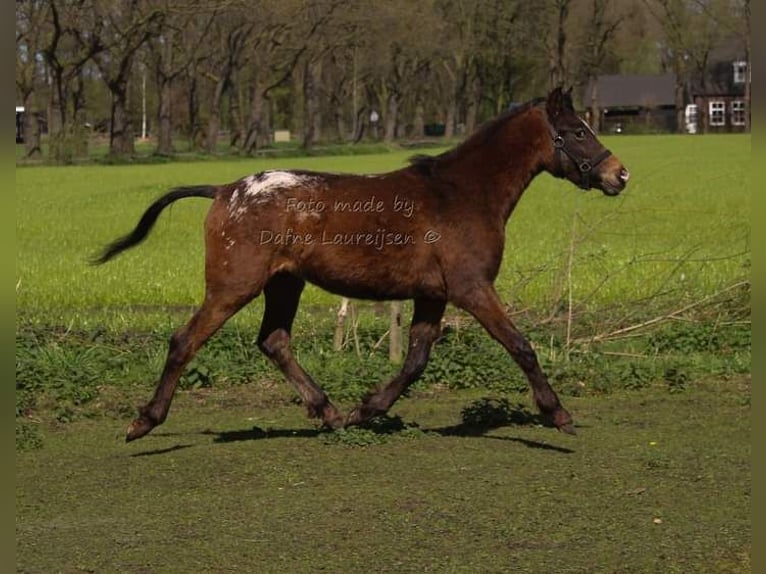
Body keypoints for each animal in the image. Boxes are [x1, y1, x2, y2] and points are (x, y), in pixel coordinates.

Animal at [94, 88, 632, 444]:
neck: (462, 194)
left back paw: (330, 413)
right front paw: (558, 414)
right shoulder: (471, 288)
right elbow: (521, 346)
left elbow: (415, 361)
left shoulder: (432, 295)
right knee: (185, 340)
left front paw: (365, 410)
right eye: (577, 131)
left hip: (284, 284)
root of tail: (224, 191)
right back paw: (144, 421)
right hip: (233, 286)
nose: (620, 174)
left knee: (274, 341)